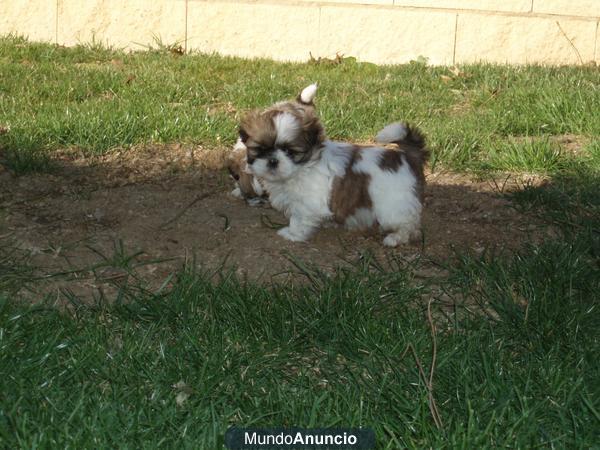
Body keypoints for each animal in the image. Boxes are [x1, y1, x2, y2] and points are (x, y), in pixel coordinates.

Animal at [238, 84, 426, 246]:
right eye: (260, 149)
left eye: (290, 151)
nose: (273, 161)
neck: (302, 169)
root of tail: (408, 155)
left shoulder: (306, 203)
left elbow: (299, 219)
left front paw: (292, 234)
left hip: (393, 204)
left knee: (407, 222)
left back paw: (396, 237)